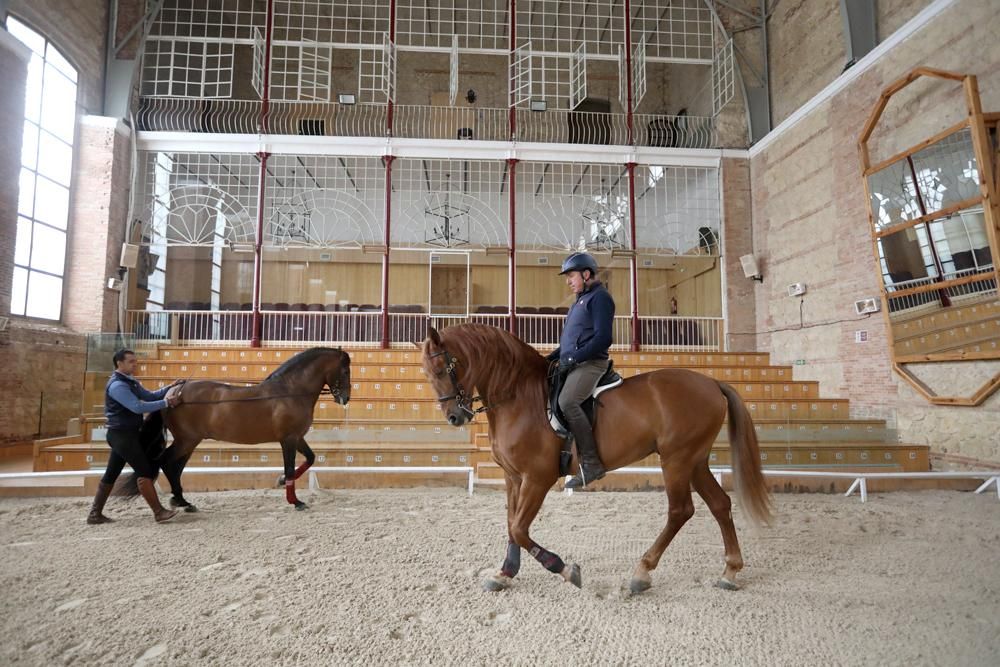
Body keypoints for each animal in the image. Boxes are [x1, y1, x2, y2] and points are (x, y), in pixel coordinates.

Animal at [150, 350, 350, 512]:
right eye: (346, 371)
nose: (345, 398)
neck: (291, 392)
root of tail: (174, 392)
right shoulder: (289, 439)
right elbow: (290, 468)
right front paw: (295, 501)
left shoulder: (297, 438)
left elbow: (310, 458)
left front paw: (281, 480)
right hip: (186, 441)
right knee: (167, 462)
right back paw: (178, 501)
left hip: (189, 442)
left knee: (175, 468)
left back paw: (182, 501)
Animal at [418, 326, 768, 592]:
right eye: (428, 374)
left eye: (442, 369)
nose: (454, 417)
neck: (517, 396)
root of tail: (712, 382)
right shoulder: (513, 476)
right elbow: (510, 524)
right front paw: (505, 573)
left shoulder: (537, 478)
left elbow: (518, 527)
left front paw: (563, 568)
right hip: (694, 460)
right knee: (720, 504)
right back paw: (730, 572)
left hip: (677, 459)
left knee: (680, 511)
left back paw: (642, 572)